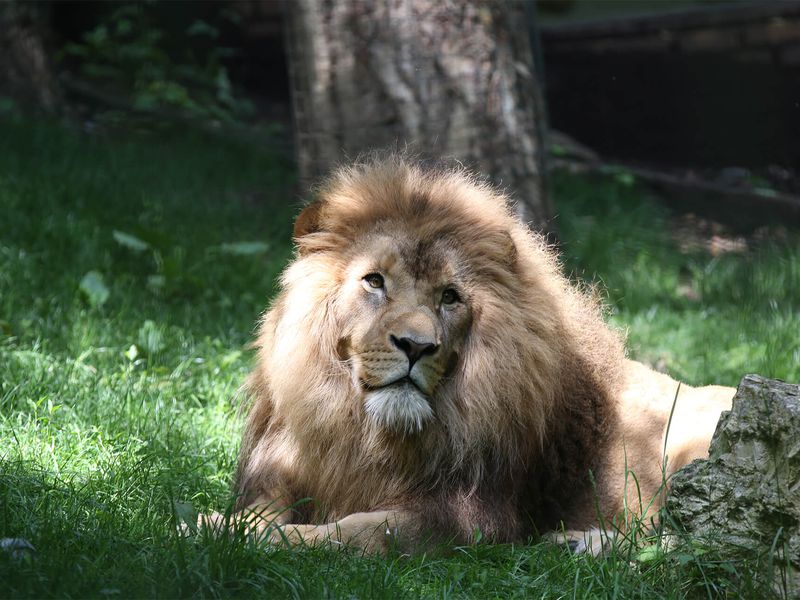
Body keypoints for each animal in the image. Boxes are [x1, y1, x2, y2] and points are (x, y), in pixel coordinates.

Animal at [202, 156, 735, 555]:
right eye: (375, 281)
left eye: (450, 297)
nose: (416, 346)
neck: (363, 432)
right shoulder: (281, 473)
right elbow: (254, 514)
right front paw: (210, 525)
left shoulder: (469, 517)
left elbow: (360, 531)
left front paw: (254, 537)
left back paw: (581, 543)